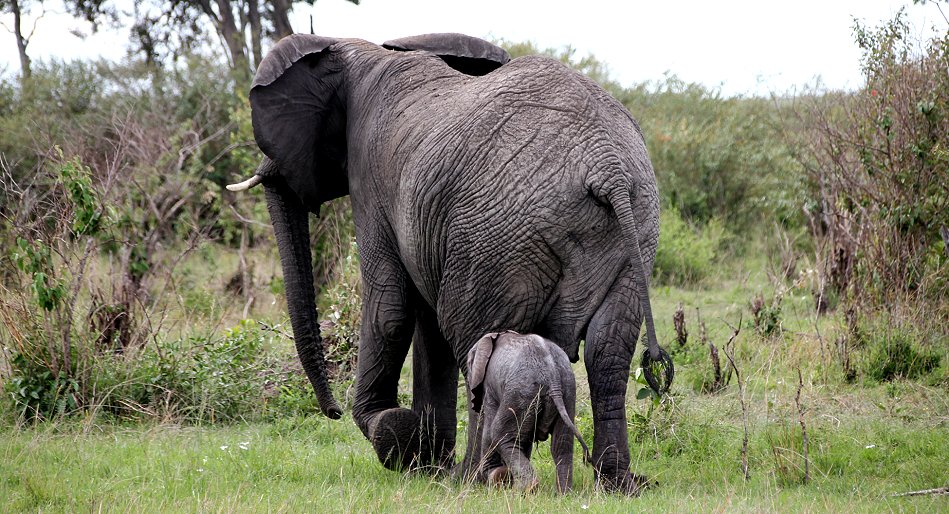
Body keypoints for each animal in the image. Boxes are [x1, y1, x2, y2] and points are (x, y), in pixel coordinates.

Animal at [464, 330, 588, 490]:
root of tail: (552, 373)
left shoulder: (489, 388)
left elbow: (489, 430)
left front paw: (491, 477)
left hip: (521, 391)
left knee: (501, 434)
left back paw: (522, 488)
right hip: (567, 390)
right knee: (562, 445)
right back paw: (563, 492)